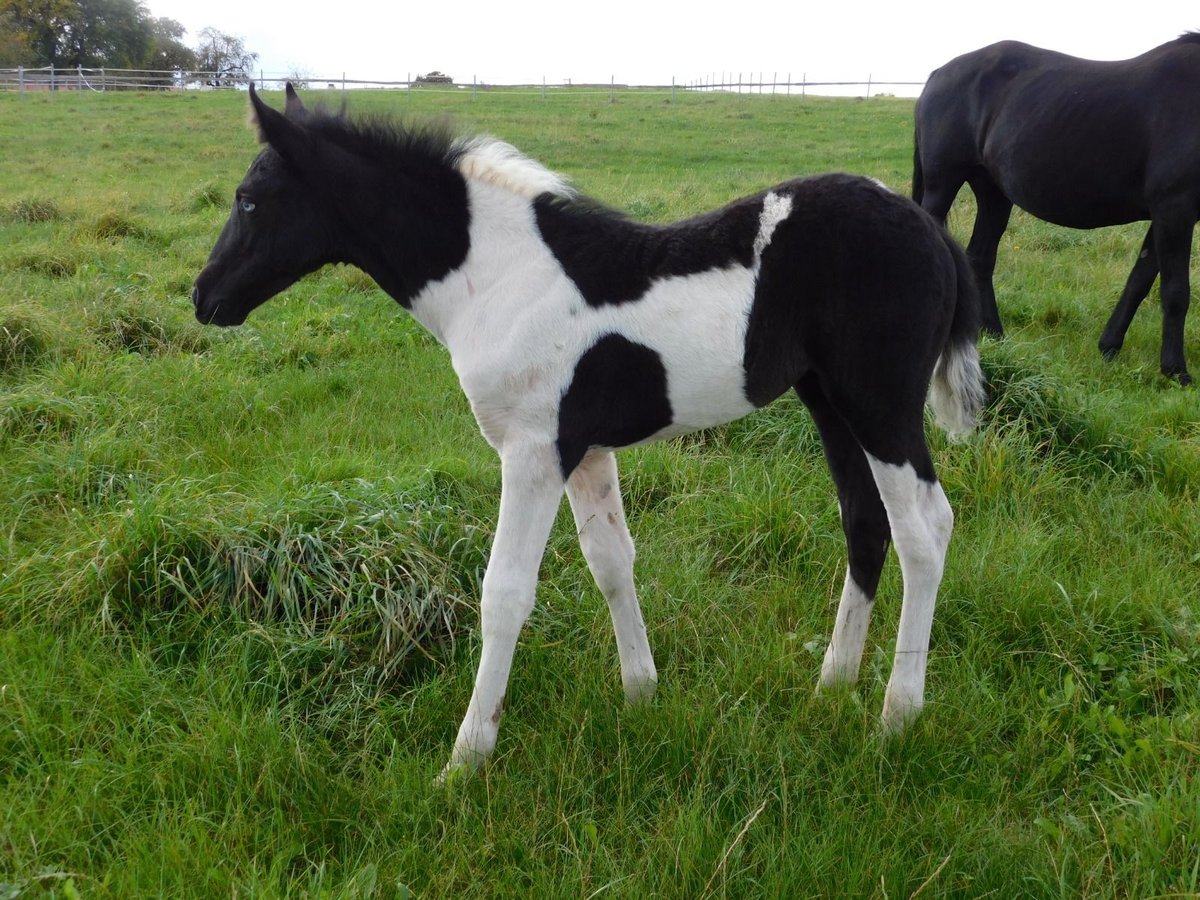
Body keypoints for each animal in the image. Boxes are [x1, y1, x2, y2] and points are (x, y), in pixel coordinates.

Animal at [194, 82, 984, 777]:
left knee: (925, 530)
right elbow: (611, 562)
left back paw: (896, 715)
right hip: (829, 402)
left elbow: (505, 593)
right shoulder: (587, 452)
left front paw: (466, 759)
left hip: (881, 406)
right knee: (865, 521)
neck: (498, 277)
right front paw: (641, 696)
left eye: (249, 199)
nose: (204, 298)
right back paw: (832, 684)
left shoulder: (533, 452)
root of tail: (933, 230)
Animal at [912, 36, 1195, 384]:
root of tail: (938, 73)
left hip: (993, 193)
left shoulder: (1166, 214)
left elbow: (1139, 281)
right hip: (943, 183)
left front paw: (1110, 347)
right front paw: (1176, 371)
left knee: (981, 258)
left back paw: (995, 334)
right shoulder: (1175, 209)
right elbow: (1175, 292)